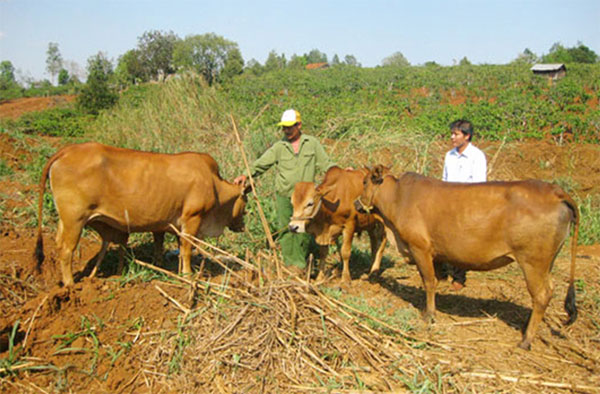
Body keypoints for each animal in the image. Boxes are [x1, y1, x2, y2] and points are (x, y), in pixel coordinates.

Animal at [35, 142, 247, 286]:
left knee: (58, 243)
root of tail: (68, 150)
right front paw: (187, 275)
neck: (214, 184)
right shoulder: (192, 219)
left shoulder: (167, 225)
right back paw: (71, 285)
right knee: (66, 250)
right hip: (75, 219)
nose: (242, 225)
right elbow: (186, 249)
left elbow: (165, 248)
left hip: (65, 220)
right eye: (245, 202)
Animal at [354, 165, 580, 350]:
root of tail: (556, 192)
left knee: (541, 295)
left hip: (533, 262)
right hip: (546, 263)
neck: (398, 197)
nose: (357, 203)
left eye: (364, 182)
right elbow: (435, 279)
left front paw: (429, 315)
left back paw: (526, 340)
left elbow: (429, 282)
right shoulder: (435, 254)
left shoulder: (420, 249)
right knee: (548, 291)